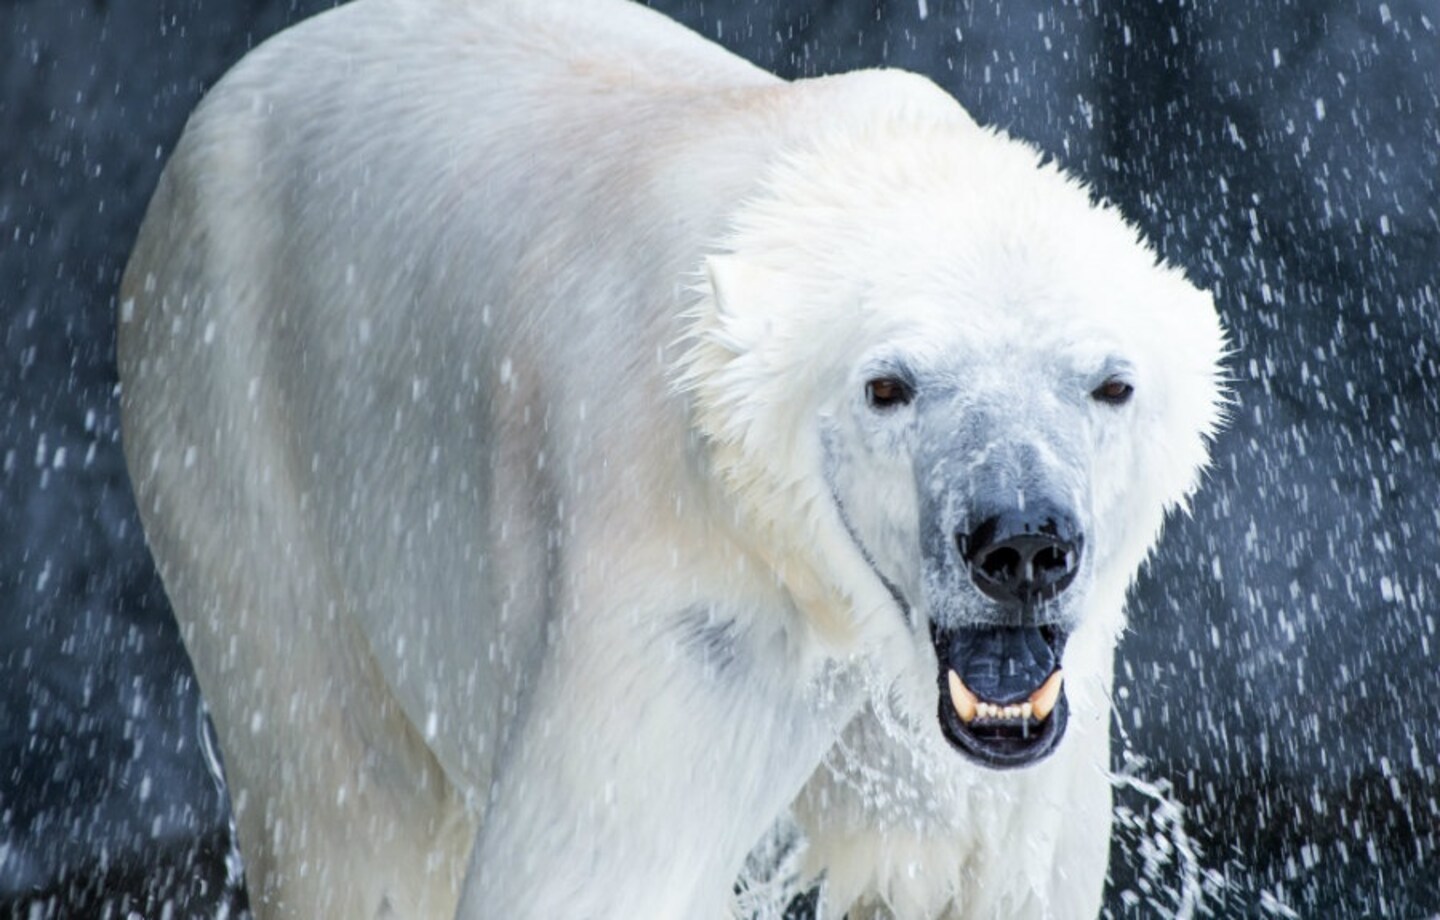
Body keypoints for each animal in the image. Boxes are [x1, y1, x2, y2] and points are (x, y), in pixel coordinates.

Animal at [120, 0, 1226, 915]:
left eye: (1110, 384)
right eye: (889, 384)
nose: (1023, 543)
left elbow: (982, 864)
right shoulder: (682, 589)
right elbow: (597, 870)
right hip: (233, 402)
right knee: (351, 804)